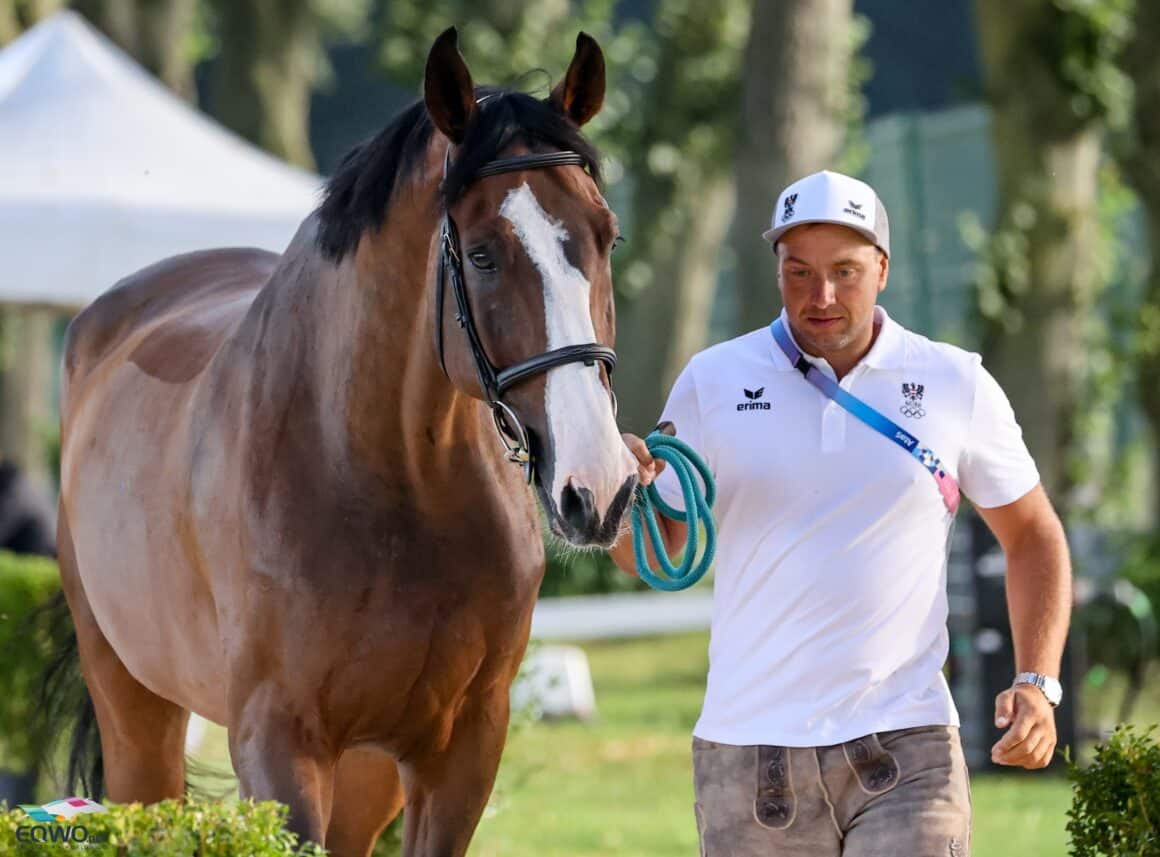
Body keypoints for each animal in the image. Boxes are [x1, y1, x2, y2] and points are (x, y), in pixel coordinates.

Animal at [52, 28, 635, 857]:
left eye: (605, 236)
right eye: (482, 253)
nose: (599, 487)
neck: (391, 482)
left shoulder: (459, 750)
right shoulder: (279, 746)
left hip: (367, 770)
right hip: (136, 709)